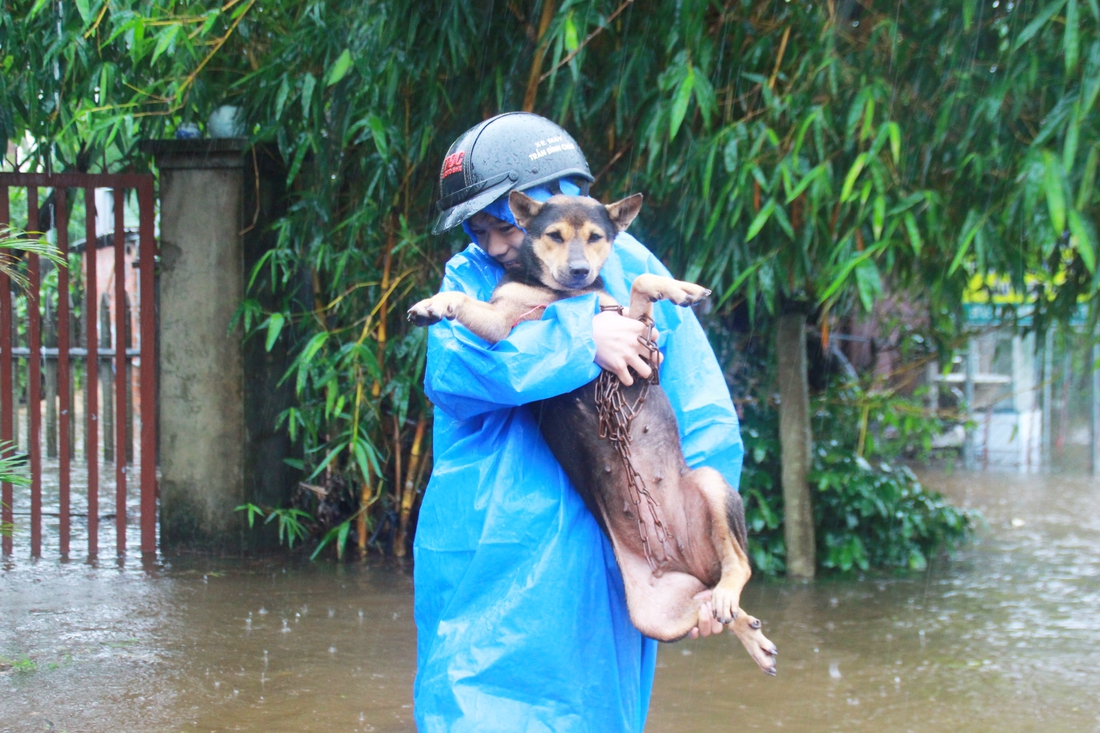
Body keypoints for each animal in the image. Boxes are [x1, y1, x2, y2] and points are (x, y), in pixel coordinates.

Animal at [409, 189, 778, 673]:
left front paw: (681, 288)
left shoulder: (636, 334)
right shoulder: (501, 324)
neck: (560, 295)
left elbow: (641, 281)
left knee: (738, 567)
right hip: (661, 614)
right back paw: (747, 630)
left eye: (596, 237)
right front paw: (433, 304)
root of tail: (685, 562)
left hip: (711, 484)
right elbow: (463, 301)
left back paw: (743, 619)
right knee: (713, 599)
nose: (580, 271)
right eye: (553, 235)